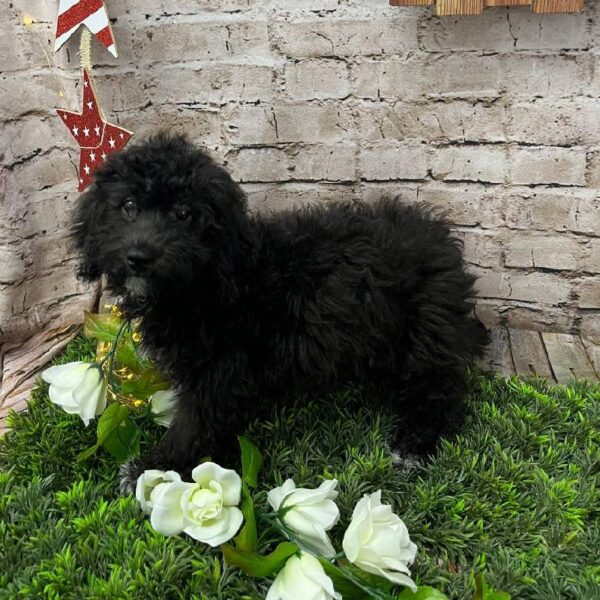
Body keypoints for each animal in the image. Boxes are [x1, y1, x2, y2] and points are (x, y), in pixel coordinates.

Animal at [74, 134, 488, 490]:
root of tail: (442, 243)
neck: (212, 280)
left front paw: (156, 468)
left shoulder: (221, 367)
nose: (139, 256)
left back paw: (414, 444)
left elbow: (195, 420)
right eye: (128, 206)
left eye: (183, 214)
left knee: (439, 389)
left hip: (423, 334)